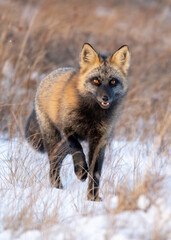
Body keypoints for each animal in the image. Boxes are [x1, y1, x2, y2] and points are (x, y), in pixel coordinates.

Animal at [24, 42, 130, 201]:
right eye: (96, 81)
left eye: (113, 82)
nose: (105, 98)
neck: (92, 114)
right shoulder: (68, 130)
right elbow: (77, 149)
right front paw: (80, 171)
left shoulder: (99, 140)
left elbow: (95, 173)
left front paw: (93, 198)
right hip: (53, 137)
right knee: (54, 161)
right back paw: (56, 186)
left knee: (58, 157)